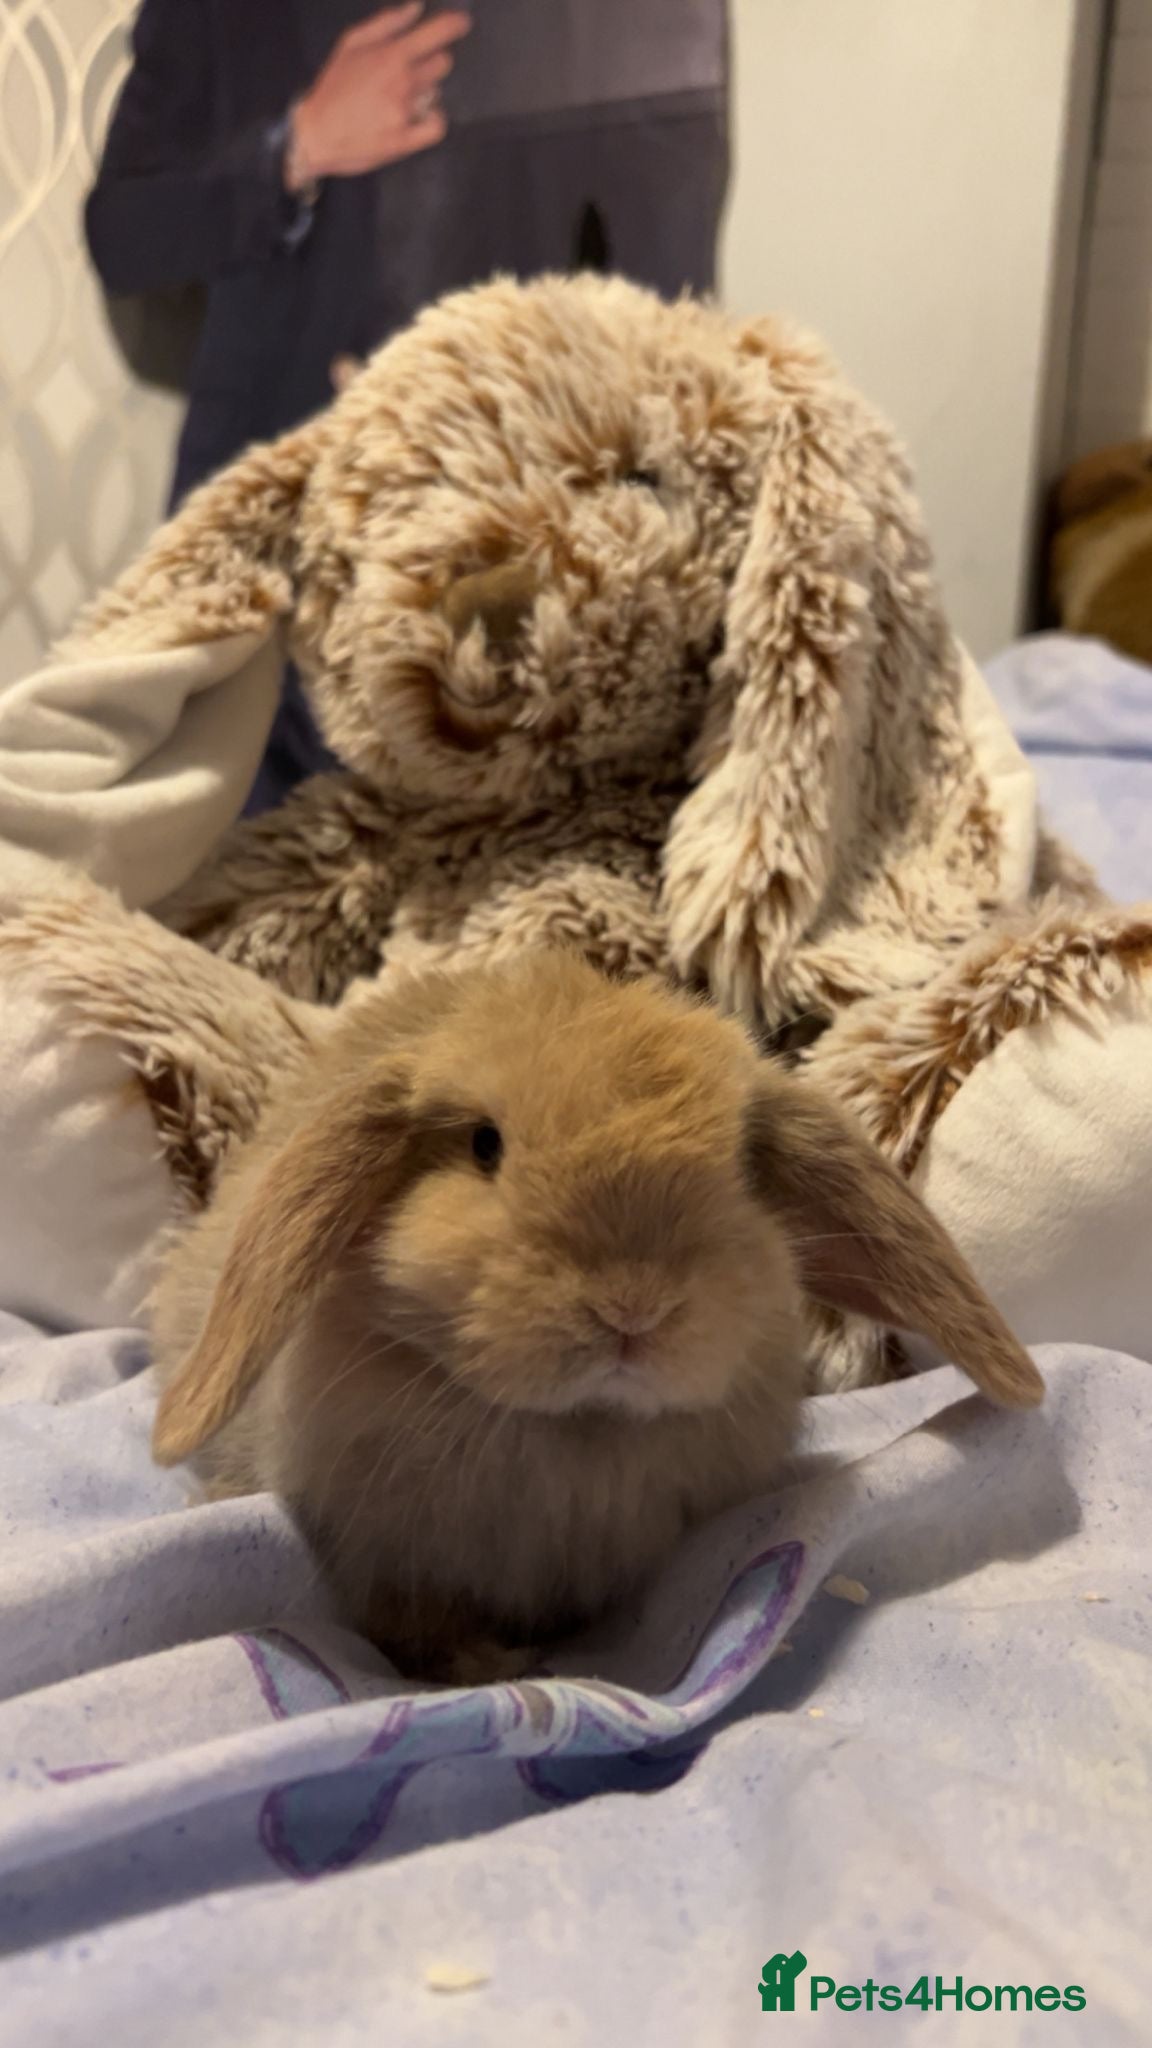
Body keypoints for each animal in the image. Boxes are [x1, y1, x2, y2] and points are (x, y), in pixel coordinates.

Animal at [150, 950, 1042, 1685]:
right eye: (484, 1145)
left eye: (741, 1167)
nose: (633, 1308)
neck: (578, 1430)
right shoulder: (384, 1561)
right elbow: (416, 1625)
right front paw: (485, 1666)